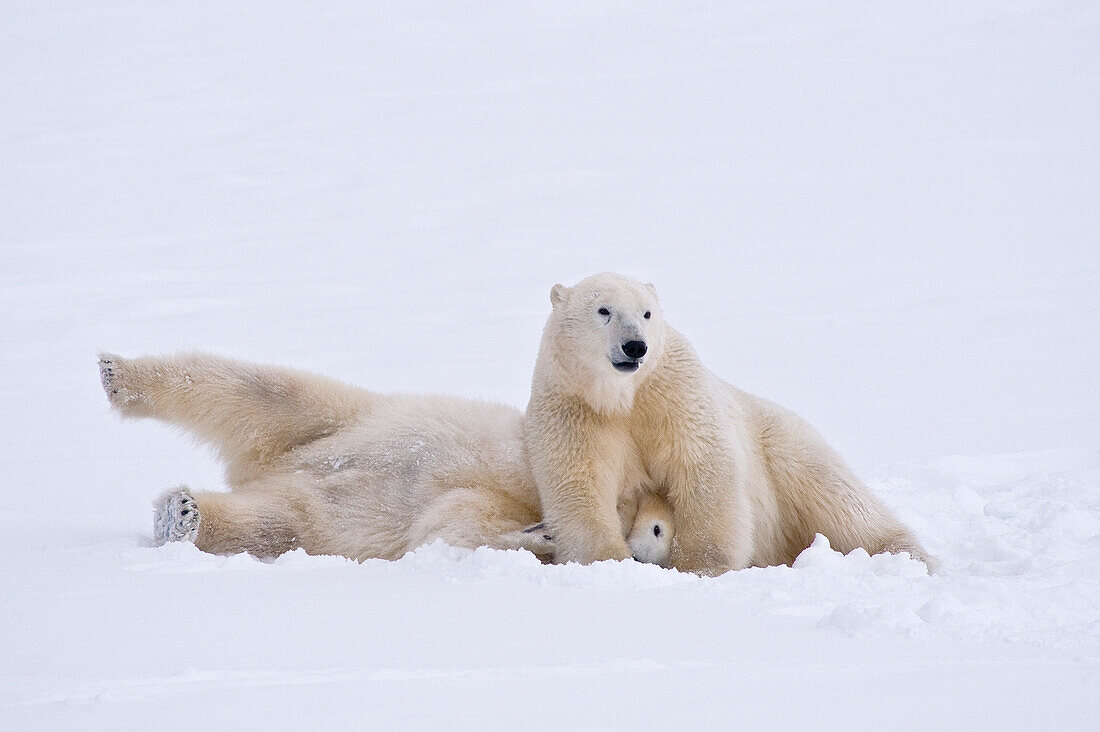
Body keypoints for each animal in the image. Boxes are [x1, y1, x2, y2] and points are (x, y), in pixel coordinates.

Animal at [99, 350, 673, 563]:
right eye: (662, 528)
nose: (648, 546)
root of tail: (268, 470)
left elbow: (450, 525)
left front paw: (542, 536)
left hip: (312, 512)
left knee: (270, 524)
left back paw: (182, 515)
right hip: (340, 418)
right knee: (263, 388)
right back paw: (119, 374)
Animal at [525, 270, 937, 572]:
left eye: (647, 313)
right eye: (603, 310)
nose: (635, 346)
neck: (622, 397)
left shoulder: (674, 392)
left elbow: (702, 466)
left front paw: (702, 565)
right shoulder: (573, 408)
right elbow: (580, 481)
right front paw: (609, 560)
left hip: (781, 446)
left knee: (838, 499)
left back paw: (905, 553)